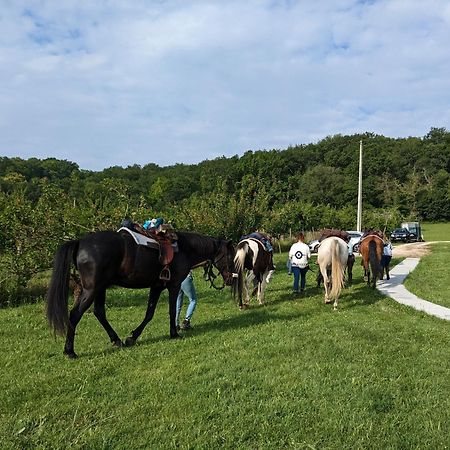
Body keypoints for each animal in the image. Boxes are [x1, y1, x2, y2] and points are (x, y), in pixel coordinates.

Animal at [46, 229, 236, 358]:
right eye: (230, 256)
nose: (232, 278)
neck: (184, 249)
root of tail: (80, 242)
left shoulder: (157, 287)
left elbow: (149, 313)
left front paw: (132, 337)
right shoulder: (174, 286)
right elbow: (171, 310)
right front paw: (174, 334)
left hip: (100, 288)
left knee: (99, 312)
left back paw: (116, 340)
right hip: (91, 289)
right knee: (75, 314)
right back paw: (70, 351)